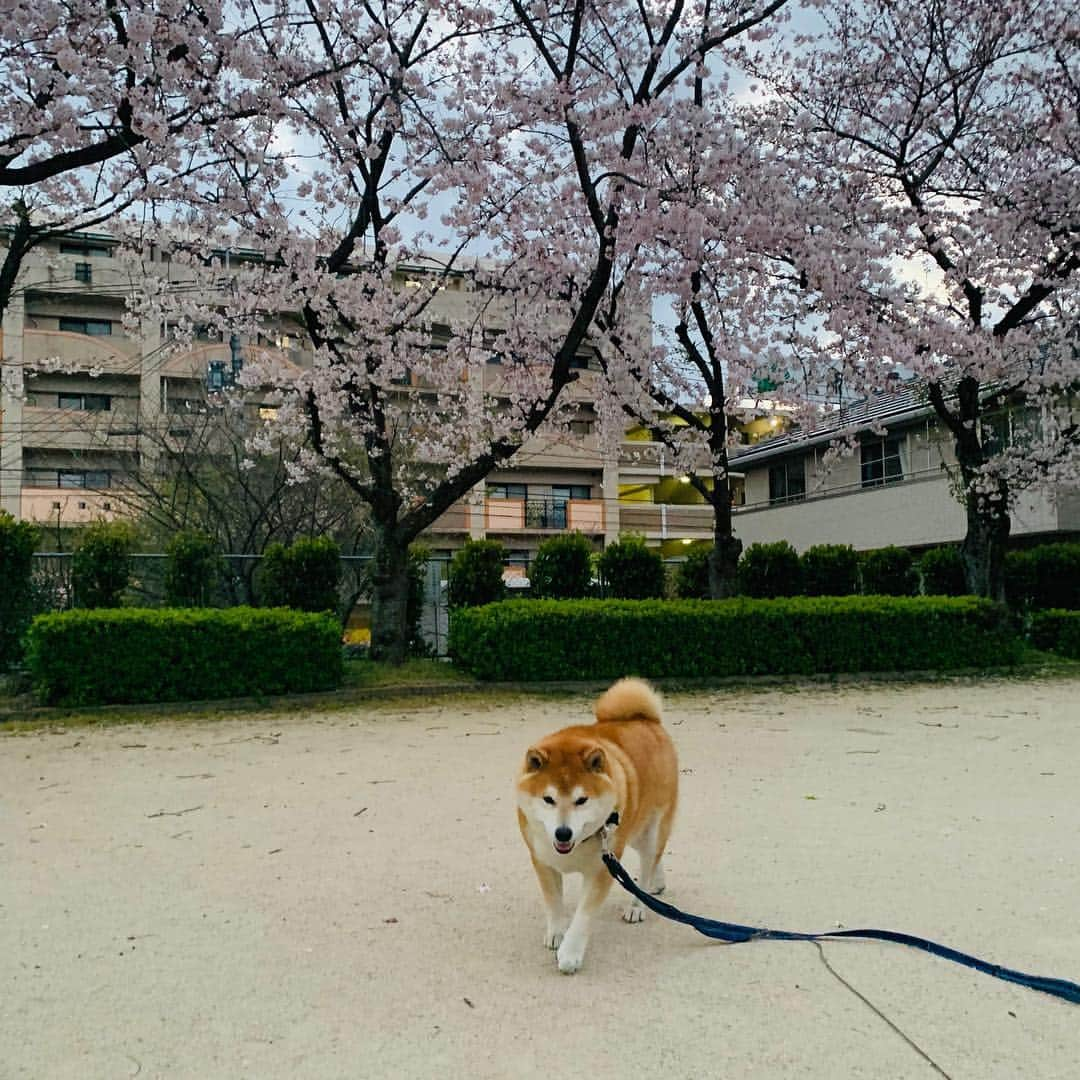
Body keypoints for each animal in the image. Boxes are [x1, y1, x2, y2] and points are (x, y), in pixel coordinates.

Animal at [514, 678, 673, 976]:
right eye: (548, 799)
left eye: (582, 800)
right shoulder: (543, 861)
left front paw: (570, 954)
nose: (562, 832)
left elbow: (583, 916)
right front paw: (556, 932)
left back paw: (639, 904)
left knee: (649, 862)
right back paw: (658, 885)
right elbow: (553, 902)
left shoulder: (602, 868)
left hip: (649, 830)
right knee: (655, 858)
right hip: (633, 831)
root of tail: (646, 719)